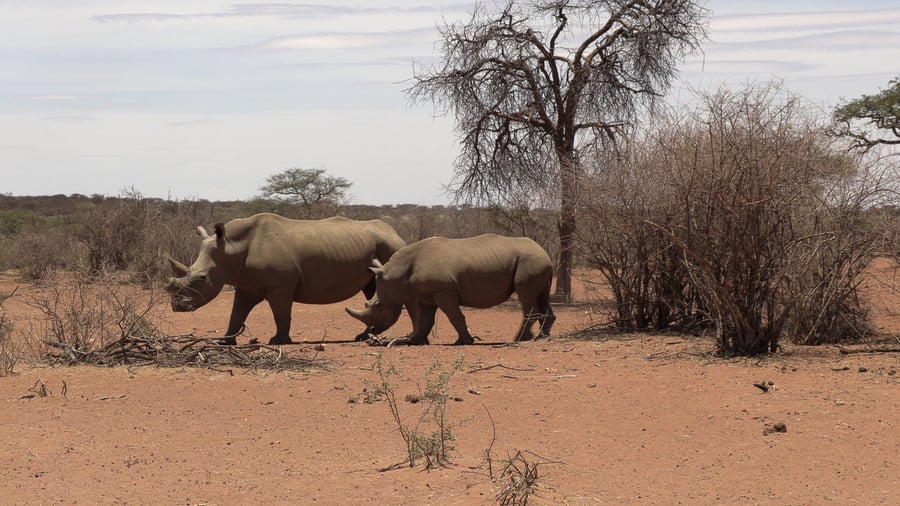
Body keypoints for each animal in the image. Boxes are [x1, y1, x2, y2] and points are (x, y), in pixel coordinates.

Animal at [166, 213, 406, 345]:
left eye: (201, 278)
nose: (177, 307)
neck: (230, 248)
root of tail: (397, 234)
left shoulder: (281, 284)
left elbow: (281, 313)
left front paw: (278, 341)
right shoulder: (247, 284)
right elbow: (236, 313)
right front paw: (224, 341)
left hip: (390, 247)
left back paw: (364, 336)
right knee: (371, 289)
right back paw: (364, 336)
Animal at [345, 234, 556, 345]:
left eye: (378, 305)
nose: (371, 331)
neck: (397, 273)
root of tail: (545, 253)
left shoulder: (443, 291)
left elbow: (454, 316)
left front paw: (464, 341)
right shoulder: (426, 295)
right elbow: (426, 319)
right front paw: (417, 341)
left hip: (530, 262)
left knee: (526, 295)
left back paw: (519, 339)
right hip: (537, 263)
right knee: (541, 296)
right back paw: (542, 337)